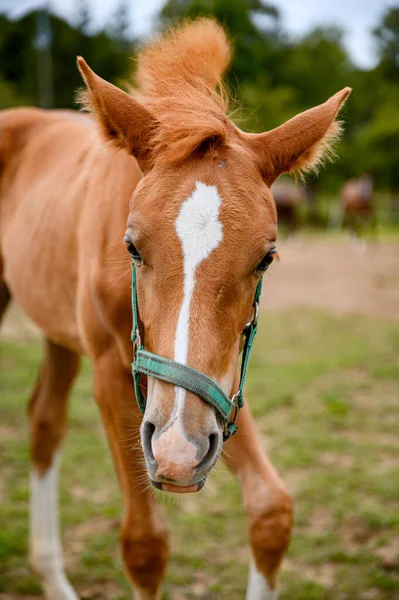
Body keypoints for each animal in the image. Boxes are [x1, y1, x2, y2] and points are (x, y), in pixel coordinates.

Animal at [0, 18, 350, 600]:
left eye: (267, 257)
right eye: (132, 247)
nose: (179, 453)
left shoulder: (220, 385)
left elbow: (272, 510)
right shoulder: (113, 376)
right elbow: (145, 546)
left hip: (59, 332)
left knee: (44, 421)